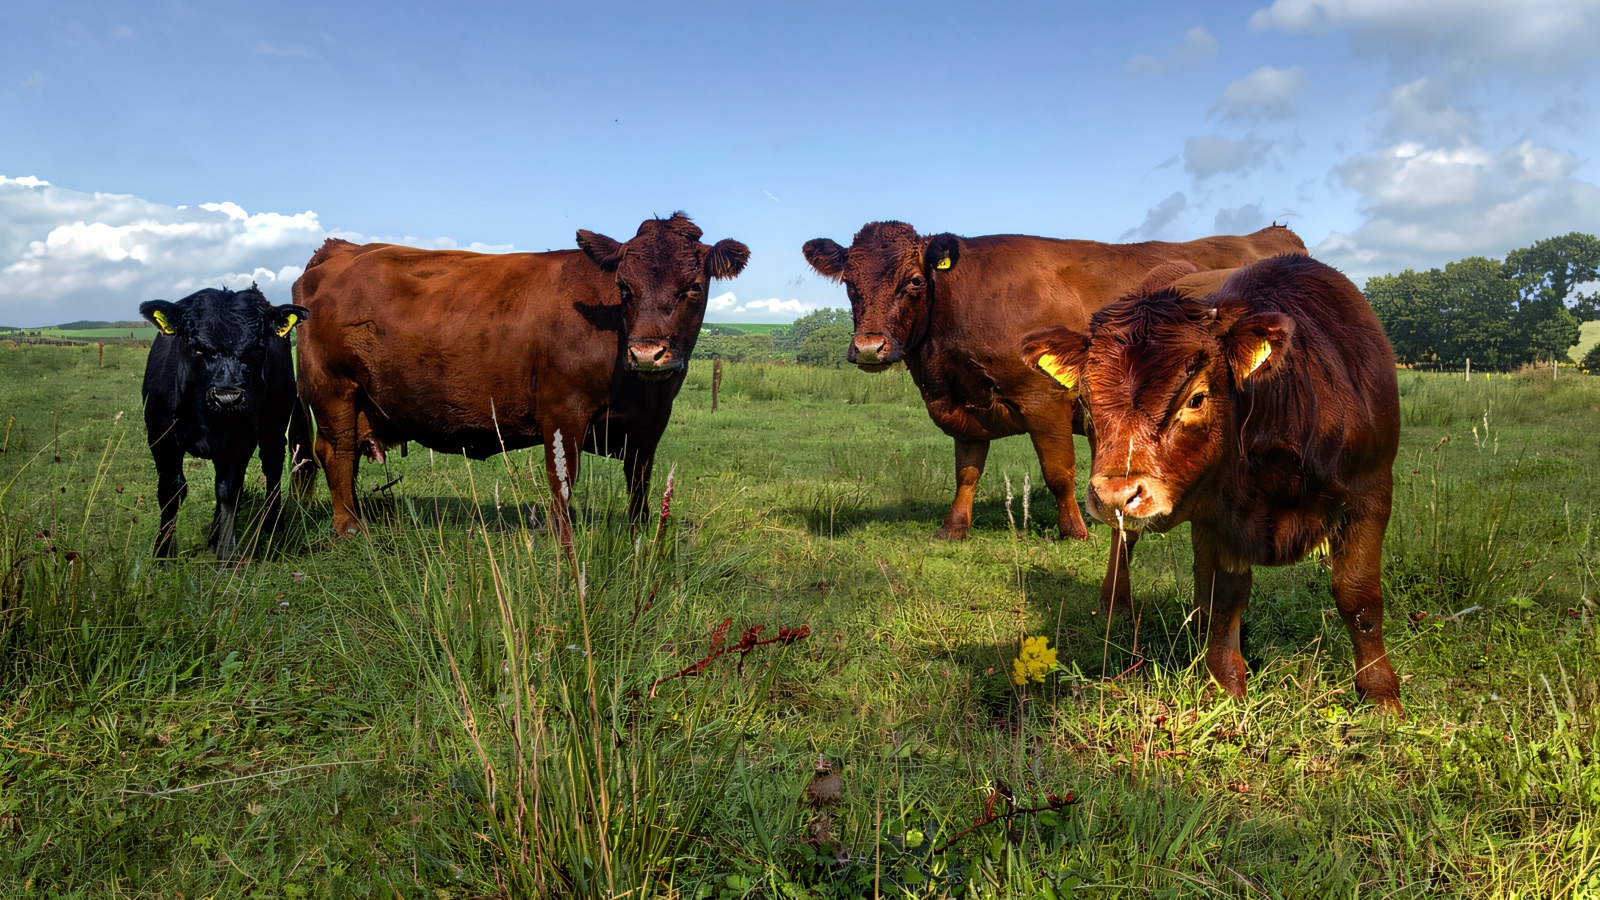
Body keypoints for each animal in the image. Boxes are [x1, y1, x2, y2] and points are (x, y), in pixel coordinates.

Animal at [139, 285, 309, 561]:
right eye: (196, 348)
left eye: (255, 348)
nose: (227, 397)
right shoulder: (161, 434)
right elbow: (171, 488)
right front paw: (162, 554)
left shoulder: (243, 437)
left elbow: (229, 490)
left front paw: (227, 554)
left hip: (274, 426)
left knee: (271, 466)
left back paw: (272, 523)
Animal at [289, 213, 748, 542]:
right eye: (623, 286)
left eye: (693, 286)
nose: (647, 354)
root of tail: (342, 249)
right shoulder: (563, 413)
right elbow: (563, 482)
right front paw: (564, 544)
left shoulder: (649, 427)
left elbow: (640, 486)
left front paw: (639, 539)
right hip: (335, 390)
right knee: (336, 452)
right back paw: (351, 527)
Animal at [801, 222, 1306, 541]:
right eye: (849, 283)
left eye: (913, 282)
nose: (870, 347)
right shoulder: (967, 406)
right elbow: (967, 471)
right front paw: (953, 528)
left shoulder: (1045, 400)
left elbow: (1059, 472)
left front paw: (1076, 531)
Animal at [1021, 254, 1403, 712]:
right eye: (1084, 399)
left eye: (1196, 398)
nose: (1115, 494)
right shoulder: (1217, 517)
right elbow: (1222, 599)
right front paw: (1226, 689)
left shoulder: (1371, 491)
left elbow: (1359, 597)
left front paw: (1381, 695)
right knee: (1124, 540)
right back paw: (1115, 605)